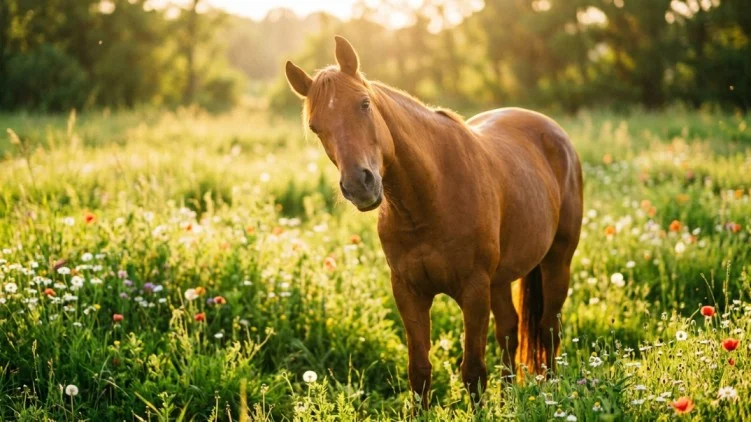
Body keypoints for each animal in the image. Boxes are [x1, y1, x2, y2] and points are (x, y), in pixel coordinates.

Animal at [285, 36, 583, 407]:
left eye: (364, 104)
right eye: (316, 127)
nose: (359, 184)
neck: (430, 198)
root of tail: (552, 130)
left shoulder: (473, 290)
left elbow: (473, 372)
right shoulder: (408, 291)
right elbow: (420, 373)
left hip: (558, 260)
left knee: (548, 329)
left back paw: (552, 394)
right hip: (500, 279)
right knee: (510, 332)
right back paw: (509, 398)